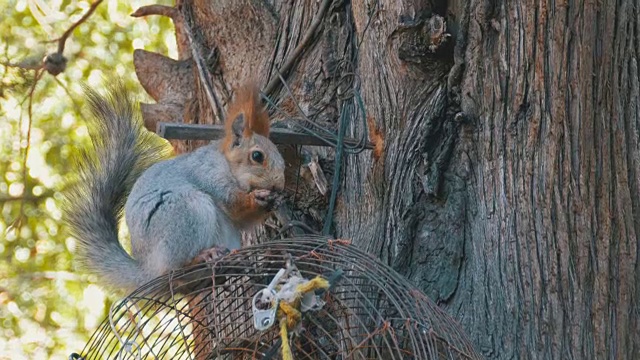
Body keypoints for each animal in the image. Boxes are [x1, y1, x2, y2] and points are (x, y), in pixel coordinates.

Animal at [64, 81, 284, 292]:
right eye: (257, 156)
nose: (279, 185)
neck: (227, 164)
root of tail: (148, 268)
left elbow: (242, 219)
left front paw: (273, 200)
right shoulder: (207, 172)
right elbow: (233, 204)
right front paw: (259, 197)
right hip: (185, 211)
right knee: (176, 271)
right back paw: (203, 256)